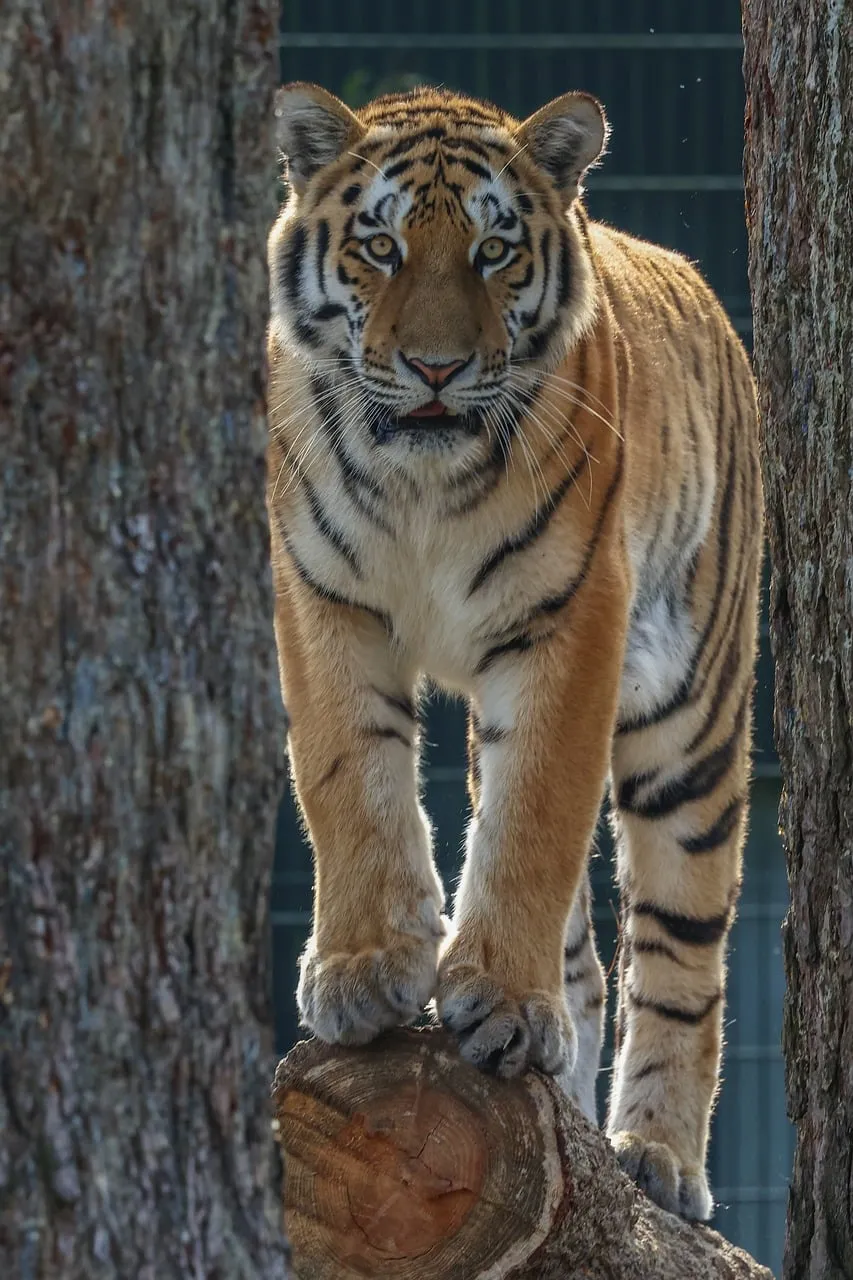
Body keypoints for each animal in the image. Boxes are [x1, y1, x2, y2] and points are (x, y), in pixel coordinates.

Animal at [266, 81, 762, 1223]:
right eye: (381, 245)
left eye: (493, 251)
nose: (436, 367)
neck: (422, 482)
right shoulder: (325, 600)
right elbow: (348, 782)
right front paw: (364, 971)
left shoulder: (570, 620)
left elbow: (532, 825)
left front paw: (494, 991)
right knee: (586, 957)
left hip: (692, 727)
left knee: (682, 954)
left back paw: (654, 1156)